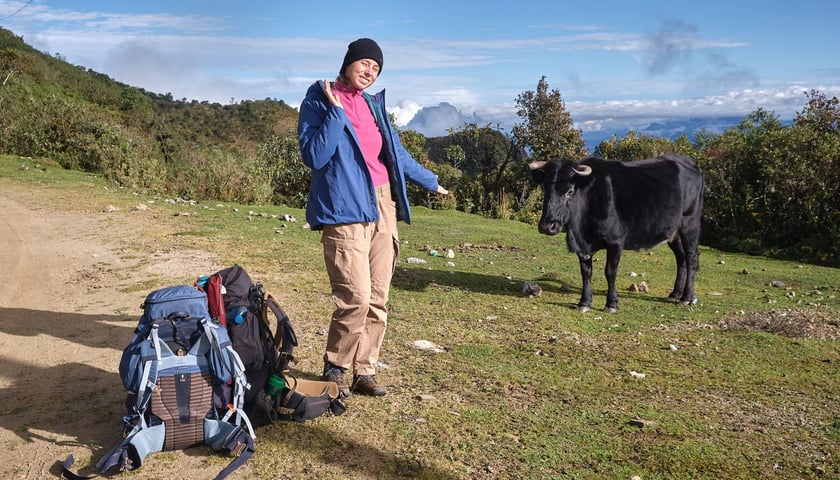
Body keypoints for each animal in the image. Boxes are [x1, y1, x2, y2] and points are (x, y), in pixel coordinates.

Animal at [532, 152, 704, 314]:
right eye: (545, 188)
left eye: (570, 191)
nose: (548, 226)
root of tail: (691, 163)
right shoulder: (583, 247)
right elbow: (586, 273)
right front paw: (584, 303)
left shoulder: (616, 241)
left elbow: (610, 272)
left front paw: (611, 304)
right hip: (673, 233)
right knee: (681, 259)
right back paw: (675, 294)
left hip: (690, 225)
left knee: (691, 258)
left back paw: (686, 297)